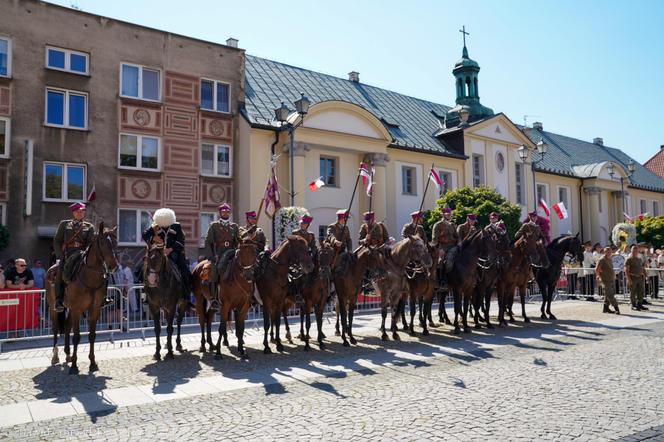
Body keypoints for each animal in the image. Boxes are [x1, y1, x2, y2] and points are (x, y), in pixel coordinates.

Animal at [46, 224, 118, 372]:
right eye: (102, 242)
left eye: (116, 242)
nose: (114, 266)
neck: (89, 277)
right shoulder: (77, 309)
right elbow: (77, 337)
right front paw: (74, 366)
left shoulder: (94, 309)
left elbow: (92, 335)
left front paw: (93, 363)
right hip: (53, 308)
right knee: (56, 329)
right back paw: (55, 356)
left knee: (67, 326)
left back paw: (68, 354)